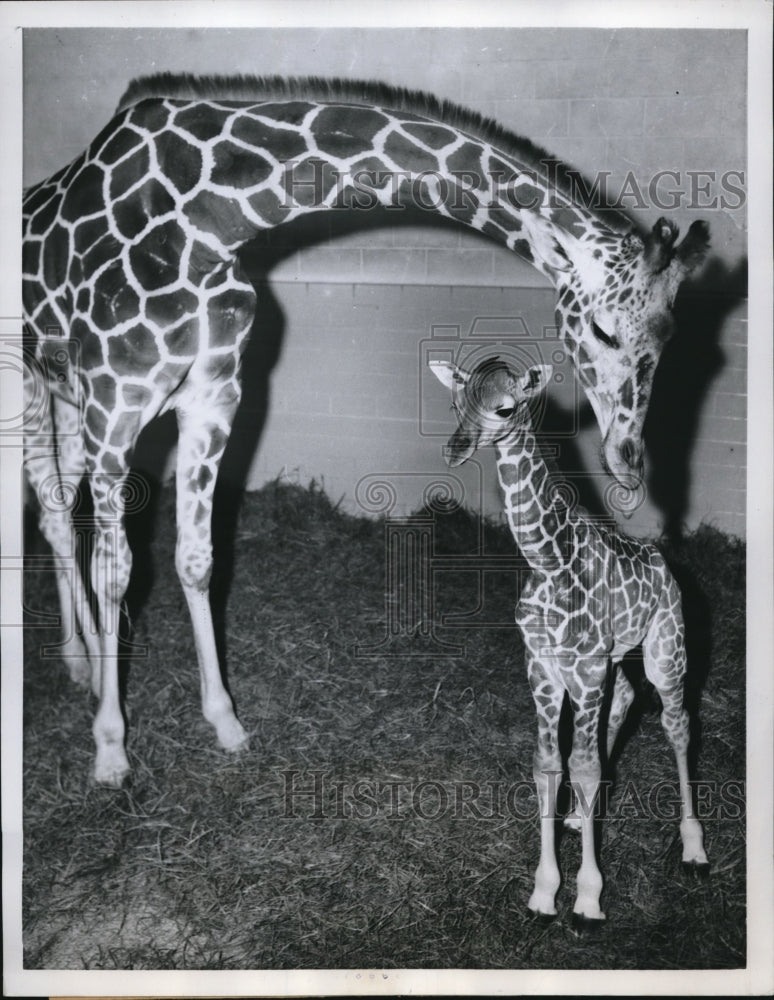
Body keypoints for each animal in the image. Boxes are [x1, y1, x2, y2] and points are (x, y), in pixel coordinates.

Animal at [23, 74, 710, 785]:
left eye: (674, 338)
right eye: (602, 330)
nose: (627, 465)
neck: (212, 219)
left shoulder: (213, 398)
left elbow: (194, 557)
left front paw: (224, 721)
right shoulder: (115, 404)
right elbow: (117, 571)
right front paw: (110, 747)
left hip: (67, 397)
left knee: (60, 507)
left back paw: (81, 663)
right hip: (35, 387)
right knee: (52, 511)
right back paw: (77, 665)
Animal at [429, 355, 709, 923]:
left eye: (505, 407)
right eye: (455, 402)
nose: (455, 449)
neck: (548, 559)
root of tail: (664, 564)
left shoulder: (585, 668)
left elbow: (582, 766)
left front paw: (588, 897)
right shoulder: (544, 667)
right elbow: (550, 767)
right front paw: (543, 892)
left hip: (666, 651)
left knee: (677, 724)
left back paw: (694, 847)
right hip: (614, 660)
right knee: (626, 700)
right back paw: (584, 819)